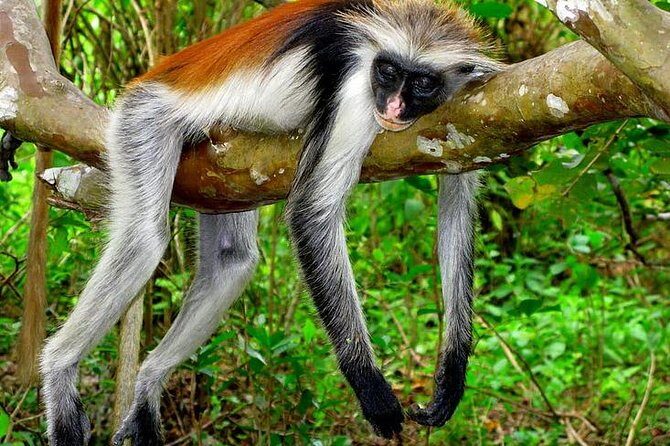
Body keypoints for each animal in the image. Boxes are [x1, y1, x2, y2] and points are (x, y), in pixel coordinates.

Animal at [39, 0, 501, 444]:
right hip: (143, 120)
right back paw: (58, 369)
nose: (391, 106)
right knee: (143, 242)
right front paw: (370, 387)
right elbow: (311, 214)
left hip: (224, 170)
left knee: (233, 261)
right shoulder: (356, 85)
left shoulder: (469, 106)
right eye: (388, 72)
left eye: (421, 83)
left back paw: (148, 382)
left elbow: (457, 200)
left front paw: (452, 371)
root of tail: (153, 76)